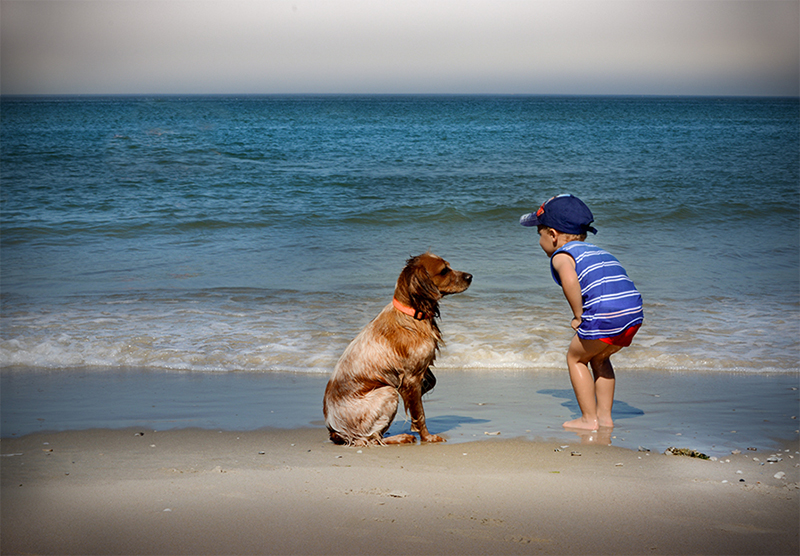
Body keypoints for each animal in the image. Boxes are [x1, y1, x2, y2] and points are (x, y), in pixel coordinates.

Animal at [324, 254, 472, 446]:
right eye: (444, 270)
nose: (470, 276)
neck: (411, 314)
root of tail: (334, 431)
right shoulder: (411, 377)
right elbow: (420, 413)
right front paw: (427, 437)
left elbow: (429, 384)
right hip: (387, 392)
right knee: (370, 439)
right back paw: (401, 437)